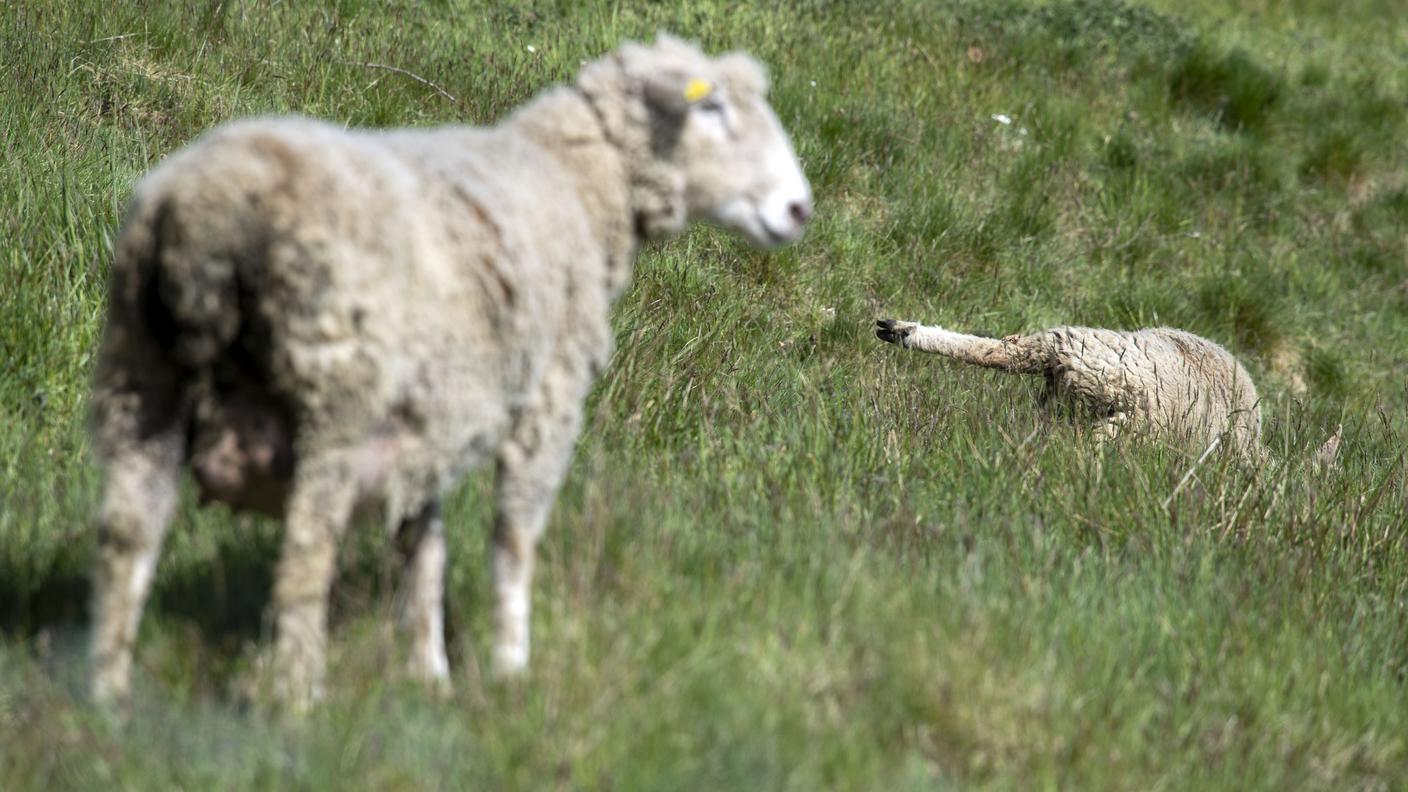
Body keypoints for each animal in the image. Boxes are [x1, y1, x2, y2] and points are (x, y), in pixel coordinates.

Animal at [85, 33, 816, 704]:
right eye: (713, 107)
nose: (799, 208)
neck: (576, 181)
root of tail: (209, 216)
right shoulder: (548, 399)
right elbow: (513, 542)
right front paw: (510, 669)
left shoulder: (430, 415)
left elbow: (425, 549)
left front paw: (428, 674)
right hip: (334, 397)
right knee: (304, 554)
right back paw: (300, 700)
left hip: (141, 377)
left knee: (128, 540)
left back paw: (109, 702)